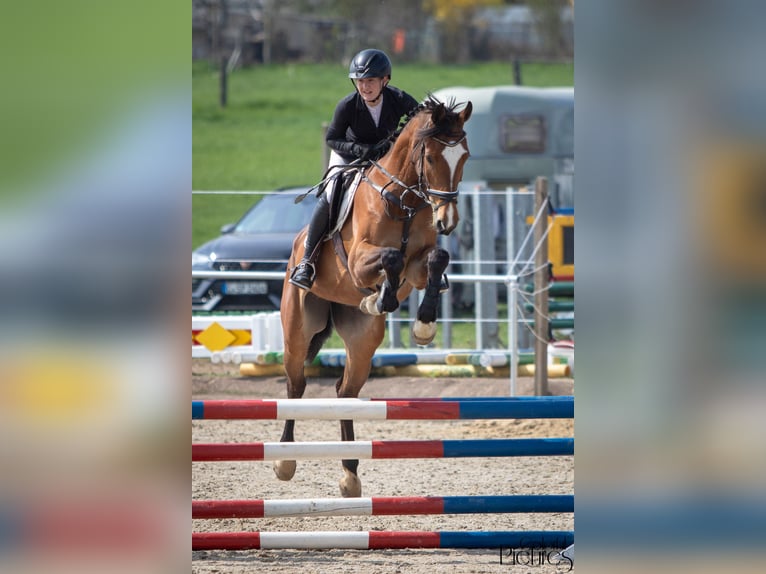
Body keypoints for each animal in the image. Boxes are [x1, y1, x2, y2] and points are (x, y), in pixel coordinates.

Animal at [275, 96, 472, 497]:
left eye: (465, 156)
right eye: (431, 158)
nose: (447, 222)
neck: (404, 199)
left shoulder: (418, 265)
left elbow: (436, 259)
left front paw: (422, 325)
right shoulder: (357, 261)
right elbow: (391, 258)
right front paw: (382, 297)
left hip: (363, 340)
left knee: (346, 392)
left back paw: (350, 474)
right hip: (298, 327)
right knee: (296, 384)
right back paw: (285, 461)